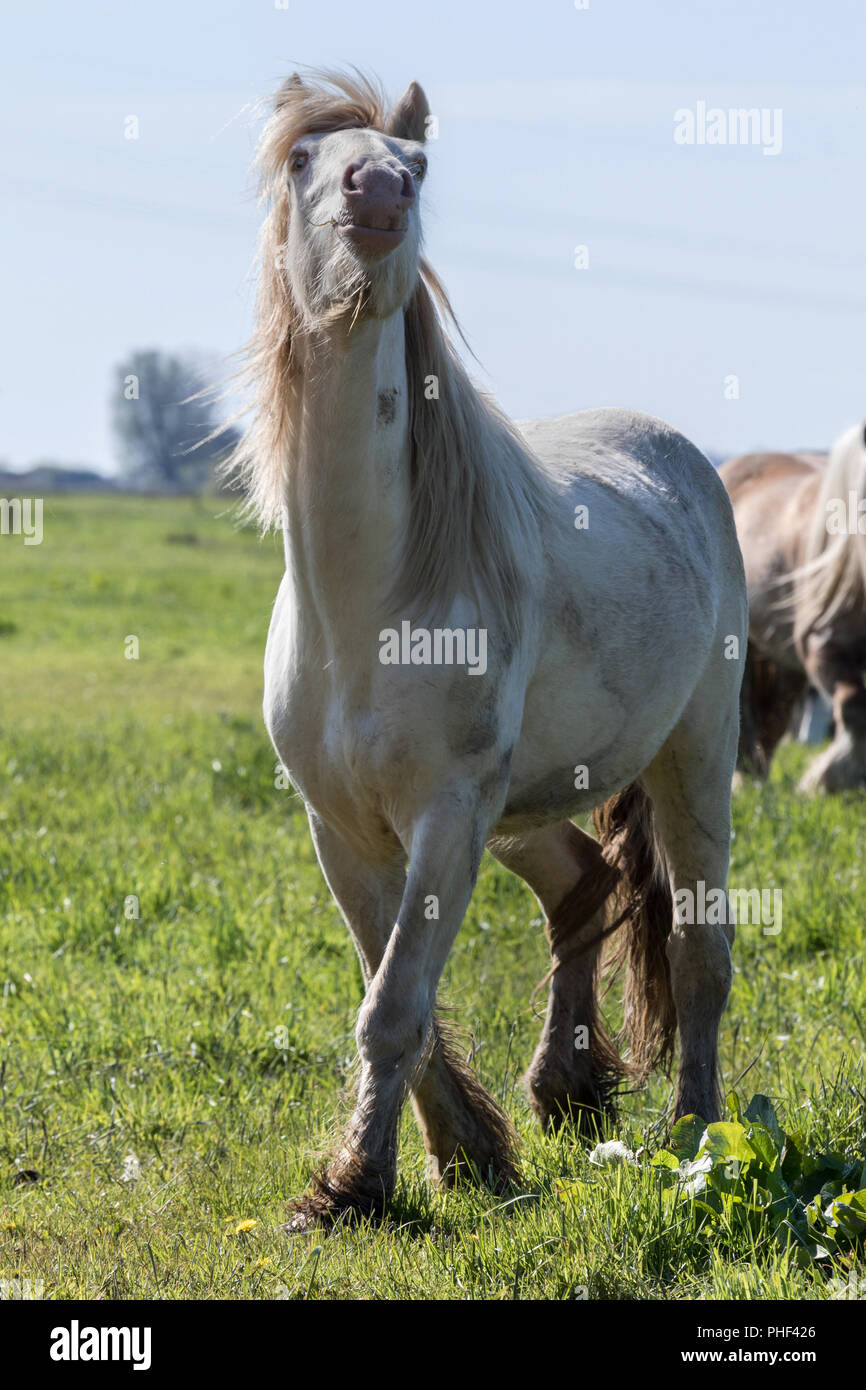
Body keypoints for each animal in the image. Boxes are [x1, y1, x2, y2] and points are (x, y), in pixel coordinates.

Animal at [233, 73, 750, 1228]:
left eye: (416, 168)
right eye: (306, 160)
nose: (377, 191)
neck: (366, 601)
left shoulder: (446, 813)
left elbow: (394, 1003)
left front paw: (357, 1186)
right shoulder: (344, 829)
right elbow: (393, 991)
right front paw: (463, 1154)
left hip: (692, 759)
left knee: (697, 949)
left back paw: (693, 1132)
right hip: (524, 809)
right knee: (581, 888)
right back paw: (567, 1086)